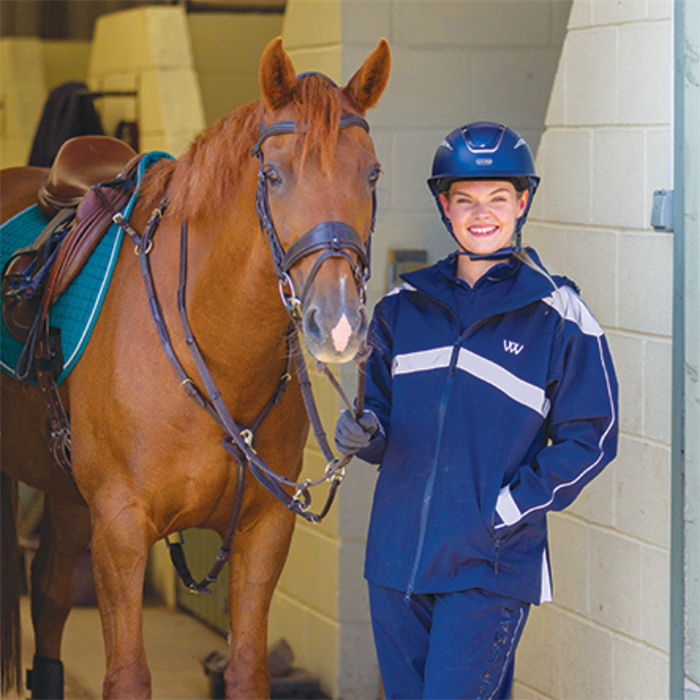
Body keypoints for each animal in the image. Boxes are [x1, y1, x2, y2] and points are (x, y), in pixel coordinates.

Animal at [0, 39, 388, 700]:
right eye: (273, 175)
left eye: (371, 173)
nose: (336, 321)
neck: (215, 353)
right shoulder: (121, 527)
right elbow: (128, 676)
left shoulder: (265, 530)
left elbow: (248, 670)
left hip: (69, 493)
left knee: (49, 597)